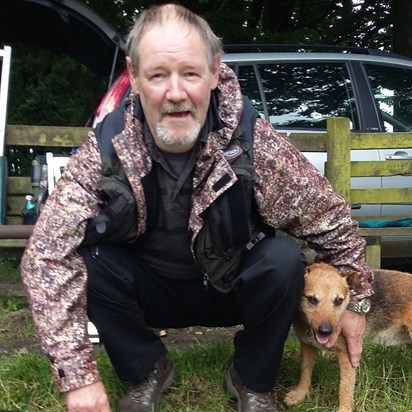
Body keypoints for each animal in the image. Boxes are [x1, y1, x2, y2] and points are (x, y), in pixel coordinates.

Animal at [284, 262, 412, 412]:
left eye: (338, 301)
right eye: (312, 299)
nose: (326, 331)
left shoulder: (348, 353)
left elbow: (345, 386)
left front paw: (344, 408)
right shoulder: (307, 345)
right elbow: (305, 369)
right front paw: (300, 393)